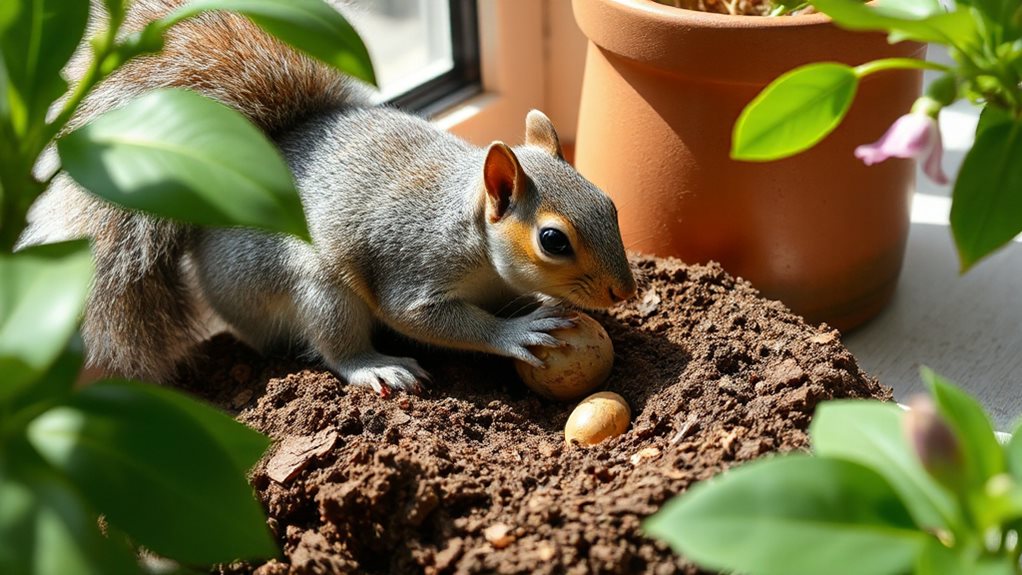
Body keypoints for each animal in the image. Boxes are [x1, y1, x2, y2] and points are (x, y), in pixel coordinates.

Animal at [21, 0, 637, 395]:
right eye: (552, 240)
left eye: (611, 203)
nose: (624, 292)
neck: (471, 233)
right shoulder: (413, 265)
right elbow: (425, 317)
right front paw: (515, 331)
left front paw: (542, 304)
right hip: (316, 289)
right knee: (334, 345)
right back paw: (374, 367)